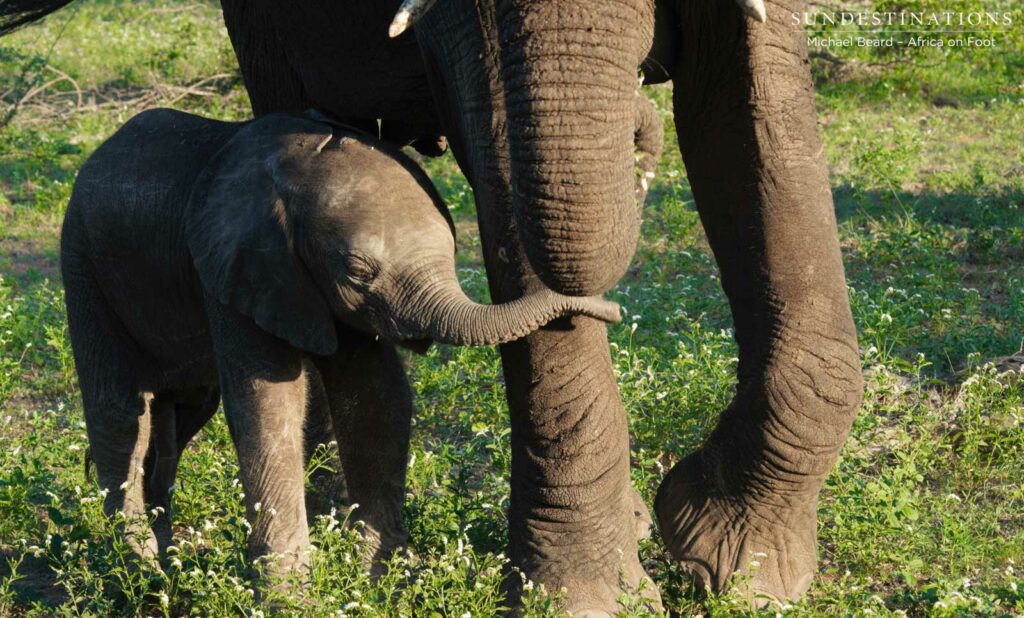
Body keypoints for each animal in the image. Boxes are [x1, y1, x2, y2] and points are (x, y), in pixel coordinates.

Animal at [59, 107, 622, 577]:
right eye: (357, 270)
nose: (610, 309)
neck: (296, 162)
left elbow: (373, 396)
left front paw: (379, 577)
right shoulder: (234, 267)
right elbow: (269, 404)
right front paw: (289, 595)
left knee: (180, 412)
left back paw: (166, 561)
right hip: (83, 262)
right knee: (120, 410)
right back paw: (135, 568)